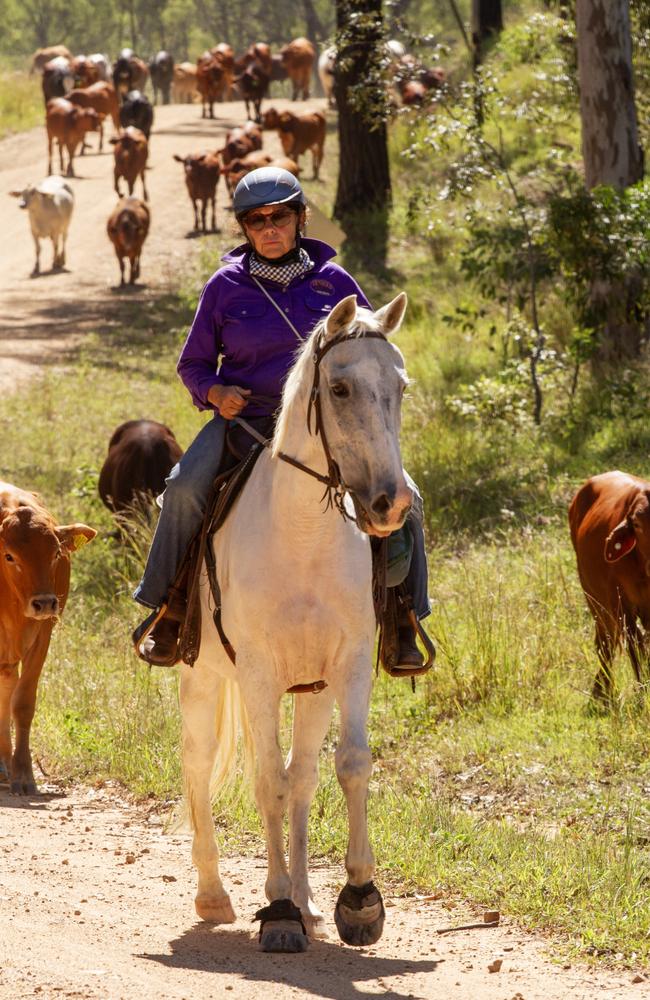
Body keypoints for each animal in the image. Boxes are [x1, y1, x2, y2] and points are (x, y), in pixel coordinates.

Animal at [0, 484, 95, 796]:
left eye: (55, 553)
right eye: (9, 556)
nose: (44, 603)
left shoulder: (43, 635)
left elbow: (22, 703)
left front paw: (23, 775)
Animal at [177, 292, 410, 952]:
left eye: (400, 386)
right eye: (339, 387)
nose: (392, 503)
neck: (303, 534)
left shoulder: (348, 666)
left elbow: (348, 765)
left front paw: (357, 900)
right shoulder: (257, 673)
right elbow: (266, 781)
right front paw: (277, 910)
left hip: (311, 692)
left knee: (303, 775)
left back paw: (306, 901)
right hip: (203, 678)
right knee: (199, 761)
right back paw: (215, 894)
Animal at [568, 472, 650, 700]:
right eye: (637, 524)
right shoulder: (622, 607)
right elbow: (635, 649)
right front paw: (643, 694)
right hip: (595, 601)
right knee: (606, 643)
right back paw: (603, 691)